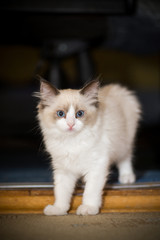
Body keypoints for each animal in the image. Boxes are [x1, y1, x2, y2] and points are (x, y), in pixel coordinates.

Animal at [35, 77, 141, 216]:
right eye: (60, 113)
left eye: (79, 114)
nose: (70, 124)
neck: (72, 142)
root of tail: (115, 87)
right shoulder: (63, 170)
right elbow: (61, 192)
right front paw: (59, 209)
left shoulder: (97, 166)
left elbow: (91, 191)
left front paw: (88, 208)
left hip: (124, 142)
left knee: (125, 157)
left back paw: (127, 177)